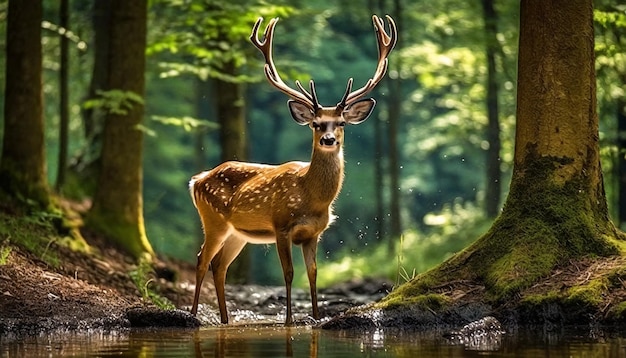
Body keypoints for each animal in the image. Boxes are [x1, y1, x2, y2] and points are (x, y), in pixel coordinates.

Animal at [188, 15, 398, 326]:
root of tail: (197, 179)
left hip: (238, 233)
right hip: (213, 219)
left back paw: (226, 320)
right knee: (202, 259)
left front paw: (316, 317)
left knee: (219, 265)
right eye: (315, 123)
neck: (311, 197)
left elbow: (313, 274)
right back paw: (192, 315)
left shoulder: (314, 233)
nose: (328, 139)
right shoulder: (281, 226)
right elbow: (288, 273)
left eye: (341, 123)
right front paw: (288, 321)